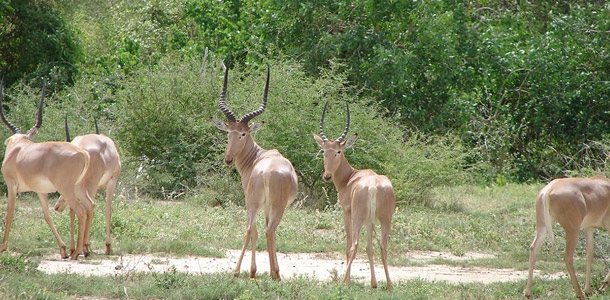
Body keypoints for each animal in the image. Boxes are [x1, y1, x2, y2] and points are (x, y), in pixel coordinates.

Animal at [0, 78, 94, 258]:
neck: (18, 148)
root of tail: (82, 153)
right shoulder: (40, 191)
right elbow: (47, 216)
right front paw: (62, 249)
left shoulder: (12, 185)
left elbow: (9, 213)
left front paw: (2, 247)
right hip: (78, 188)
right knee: (89, 206)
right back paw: (82, 250)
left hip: (66, 190)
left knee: (80, 211)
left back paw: (76, 253)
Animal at [210, 64, 298, 280]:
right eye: (228, 131)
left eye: (243, 133)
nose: (228, 160)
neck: (258, 157)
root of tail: (266, 172)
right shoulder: (266, 206)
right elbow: (265, 231)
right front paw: (266, 270)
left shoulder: (262, 205)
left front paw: (255, 270)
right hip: (271, 206)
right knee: (267, 231)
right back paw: (272, 274)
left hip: (254, 203)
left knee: (253, 229)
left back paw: (240, 271)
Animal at [312, 102, 396, 290]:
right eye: (324, 151)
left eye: (338, 151)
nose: (327, 176)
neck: (350, 178)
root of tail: (373, 185)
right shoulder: (370, 222)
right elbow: (369, 248)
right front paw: (373, 283)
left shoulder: (346, 213)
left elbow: (349, 245)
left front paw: (349, 281)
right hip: (385, 220)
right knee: (383, 246)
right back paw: (389, 285)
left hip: (357, 218)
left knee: (354, 245)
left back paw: (343, 282)